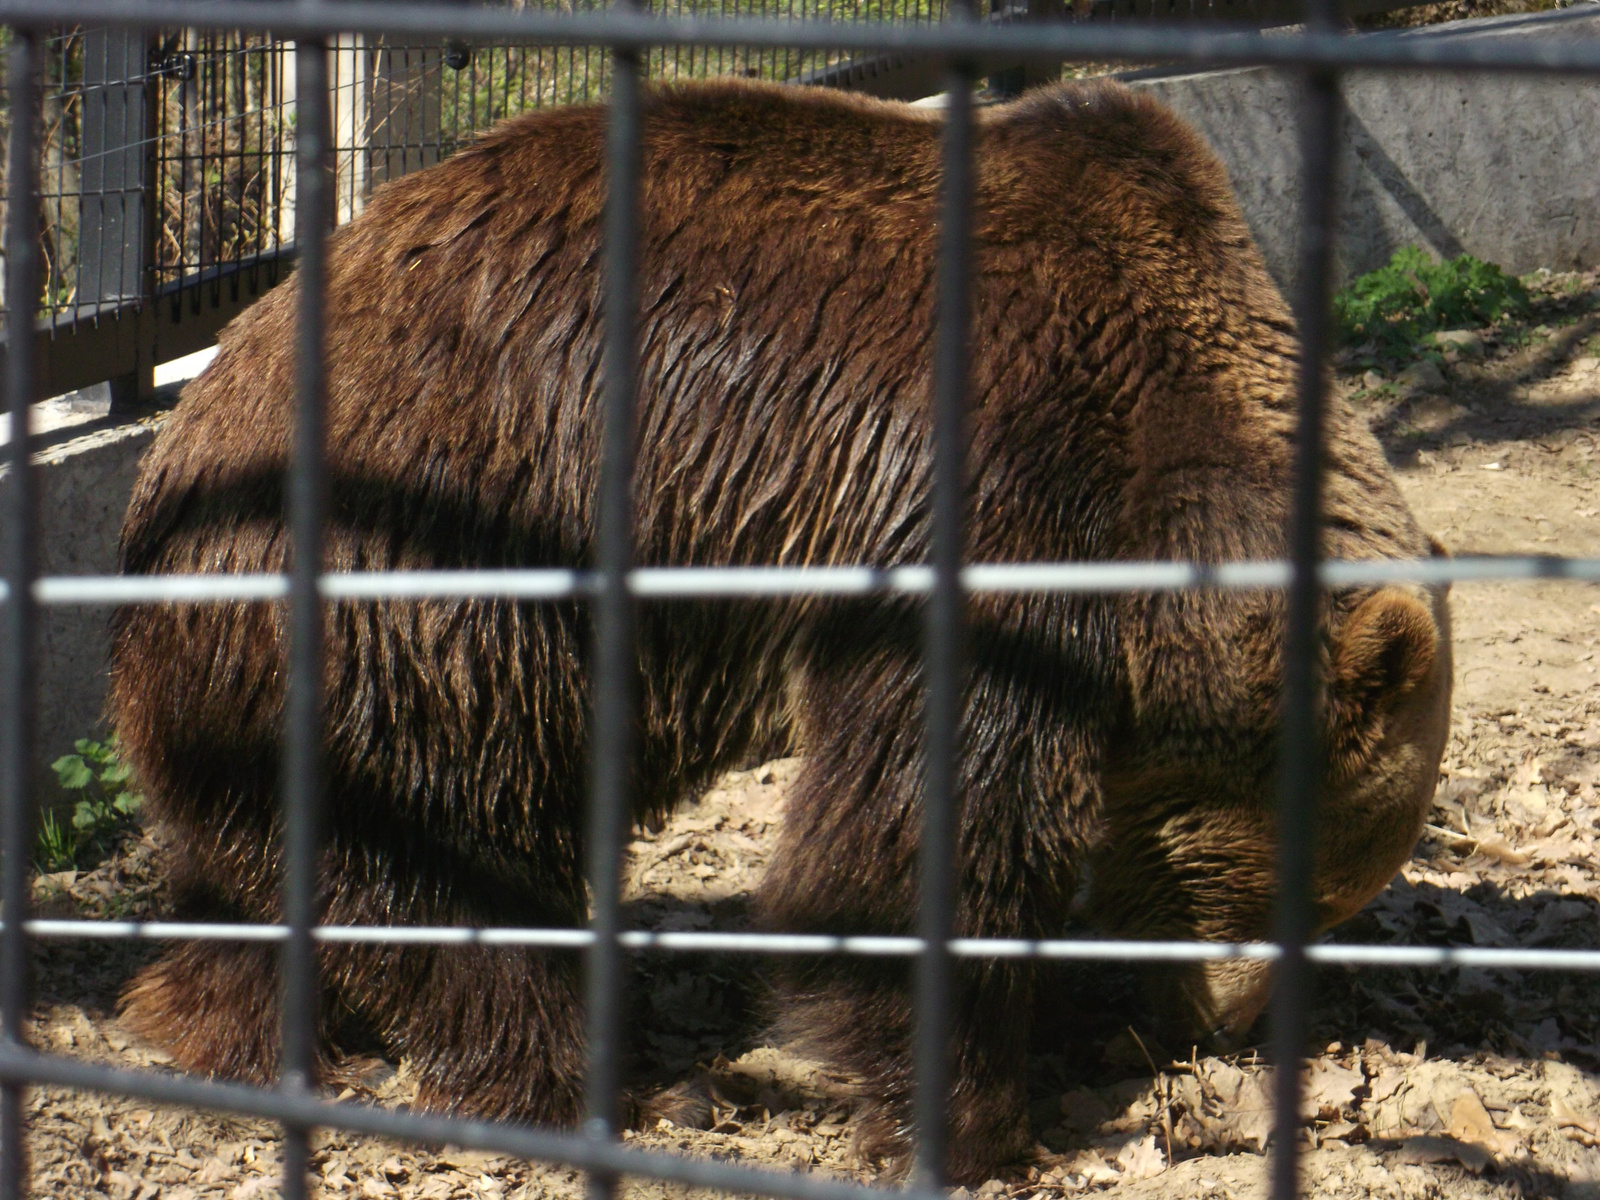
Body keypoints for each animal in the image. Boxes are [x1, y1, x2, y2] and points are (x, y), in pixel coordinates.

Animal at [109, 80, 1452, 1190]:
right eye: (1312, 881)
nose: (1224, 1025)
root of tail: (184, 443)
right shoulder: (993, 506)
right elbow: (919, 825)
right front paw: (967, 1123)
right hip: (425, 584)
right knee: (451, 840)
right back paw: (583, 1083)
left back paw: (222, 1025)